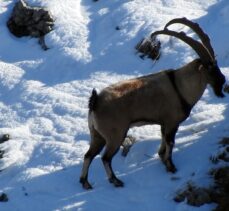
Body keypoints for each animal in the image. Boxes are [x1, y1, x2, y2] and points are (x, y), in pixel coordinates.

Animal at [79, 17, 225, 190]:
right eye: (210, 68)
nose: (222, 81)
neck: (179, 86)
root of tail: (95, 102)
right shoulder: (172, 122)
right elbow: (170, 143)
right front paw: (171, 167)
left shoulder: (164, 124)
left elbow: (163, 143)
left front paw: (162, 159)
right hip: (116, 135)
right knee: (105, 157)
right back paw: (115, 180)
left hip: (97, 135)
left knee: (88, 155)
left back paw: (85, 182)